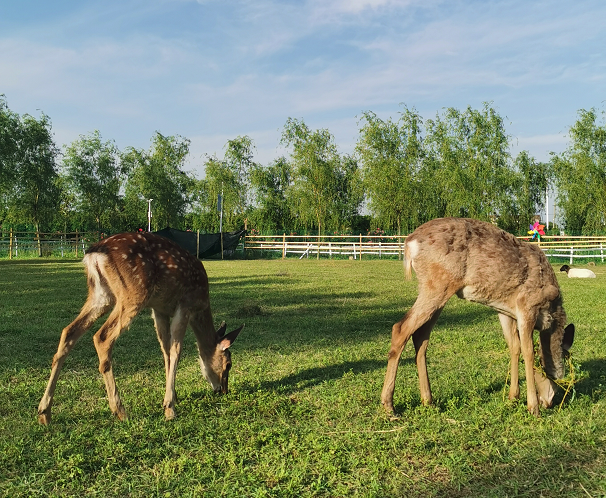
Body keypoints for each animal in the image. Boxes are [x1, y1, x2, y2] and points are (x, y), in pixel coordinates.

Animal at [38, 231, 245, 422]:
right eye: (228, 364)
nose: (223, 390)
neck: (201, 305)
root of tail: (94, 254)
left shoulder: (159, 309)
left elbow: (165, 350)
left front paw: (172, 397)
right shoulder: (184, 305)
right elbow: (176, 350)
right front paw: (170, 408)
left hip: (101, 294)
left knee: (69, 331)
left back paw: (44, 412)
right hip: (133, 294)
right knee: (102, 336)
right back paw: (120, 411)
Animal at [382, 218, 576, 416]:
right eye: (566, 365)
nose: (549, 402)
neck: (550, 312)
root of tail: (409, 242)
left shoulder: (505, 311)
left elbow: (514, 346)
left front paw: (513, 397)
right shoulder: (527, 305)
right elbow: (528, 351)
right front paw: (533, 407)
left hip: (437, 291)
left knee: (420, 337)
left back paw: (428, 400)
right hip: (437, 284)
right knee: (400, 328)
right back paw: (389, 406)